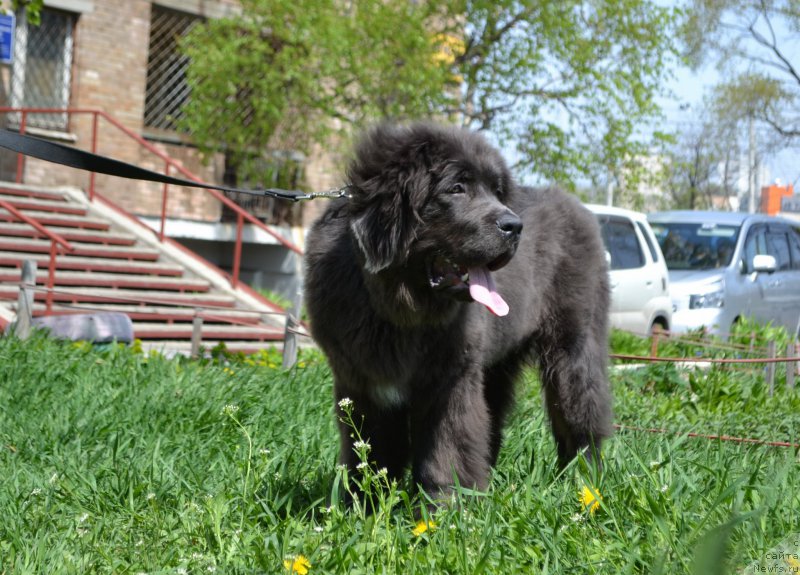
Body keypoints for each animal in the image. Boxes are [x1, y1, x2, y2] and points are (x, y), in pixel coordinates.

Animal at [306, 122, 612, 500]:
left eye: (497, 192)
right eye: (456, 189)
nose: (515, 226)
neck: (399, 309)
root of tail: (579, 208)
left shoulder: (450, 379)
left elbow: (447, 446)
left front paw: (444, 505)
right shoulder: (362, 382)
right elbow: (370, 450)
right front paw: (363, 502)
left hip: (573, 351)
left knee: (580, 416)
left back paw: (584, 481)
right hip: (496, 366)